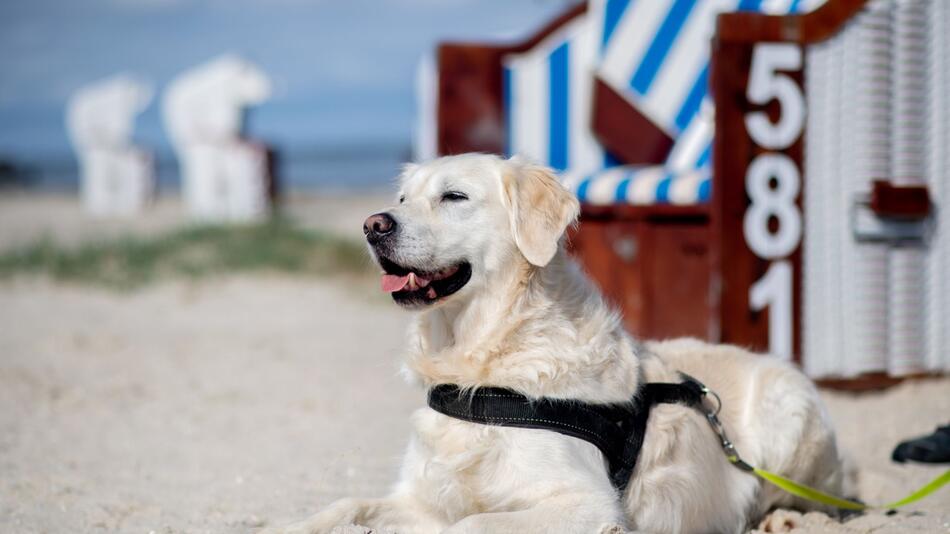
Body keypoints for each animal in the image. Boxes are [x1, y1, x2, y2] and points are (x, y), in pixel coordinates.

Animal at [266, 154, 848, 534]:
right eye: (403, 199)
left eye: (454, 196)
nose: (373, 225)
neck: (479, 364)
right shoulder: (422, 498)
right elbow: (346, 504)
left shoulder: (587, 503)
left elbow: (473, 523)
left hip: (789, 416)